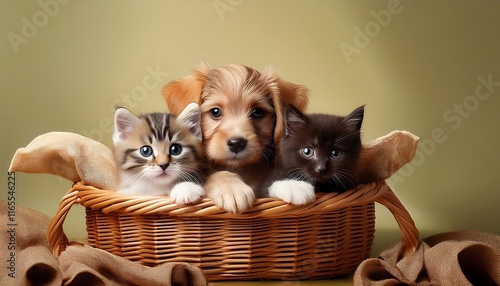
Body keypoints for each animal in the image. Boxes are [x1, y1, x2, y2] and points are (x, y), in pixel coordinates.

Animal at [163, 63, 308, 214]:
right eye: (215, 112)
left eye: (257, 112)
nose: (237, 143)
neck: (237, 168)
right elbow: (217, 174)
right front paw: (232, 188)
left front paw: (292, 185)